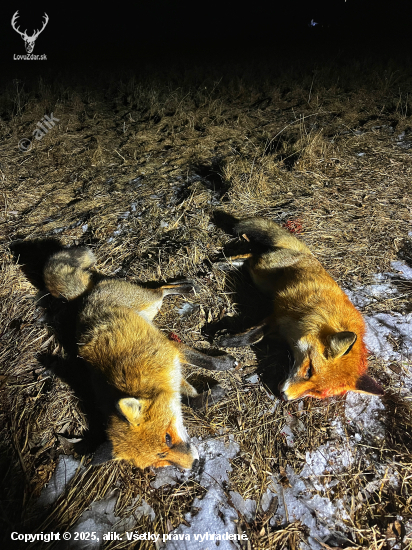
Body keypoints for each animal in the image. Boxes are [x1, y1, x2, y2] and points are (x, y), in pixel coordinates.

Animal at [43, 247, 236, 470]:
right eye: (161, 460)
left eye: (168, 438)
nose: (195, 465)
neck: (143, 381)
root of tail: (85, 297)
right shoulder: (172, 376)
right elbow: (191, 401)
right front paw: (211, 395)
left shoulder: (171, 349)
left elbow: (206, 361)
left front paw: (226, 363)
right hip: (151, 310)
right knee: (162, 289)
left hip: (152, 302)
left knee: (161, 288)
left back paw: (188, 286)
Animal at [215, 217, 384, 401]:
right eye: (309, 370)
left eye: (317, 392)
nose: (284, 396)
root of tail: (308, 254)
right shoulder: (280, 315)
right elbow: (254, 335)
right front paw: (226, 341)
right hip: (261, 277)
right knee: (252, 257)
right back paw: (223, 263)